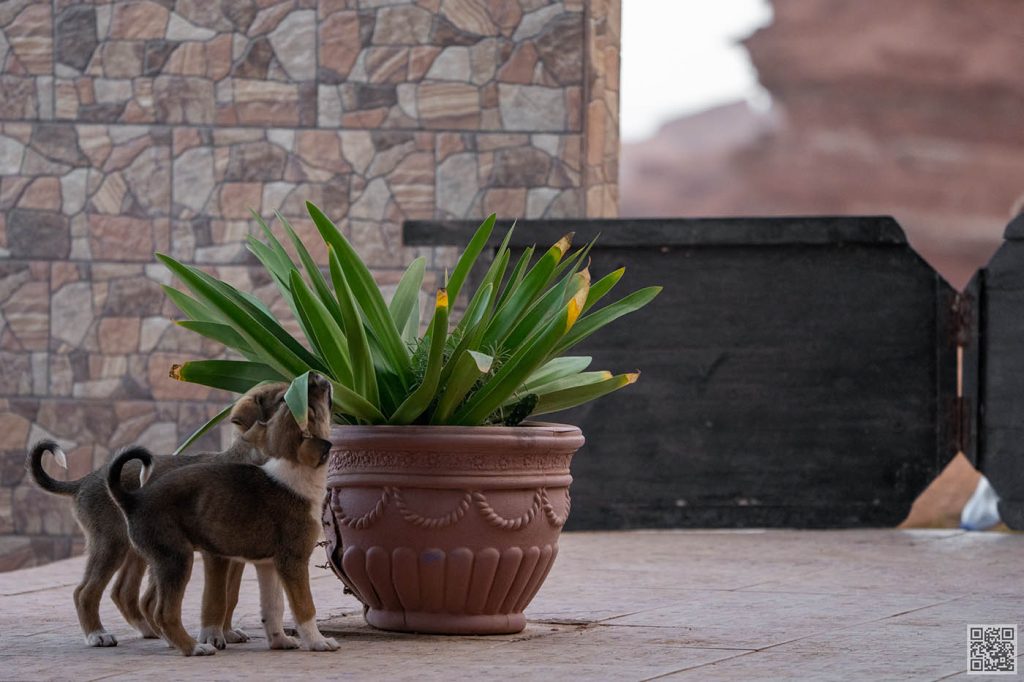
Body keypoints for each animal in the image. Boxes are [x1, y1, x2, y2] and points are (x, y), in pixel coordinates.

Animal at [24, 382, 292, 647]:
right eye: (282, 400)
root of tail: (83, 481)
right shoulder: (215, 552)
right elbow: (218, 596)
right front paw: (215, 636)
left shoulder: (237, 556)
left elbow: (230, 596)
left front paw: (227, 633)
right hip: (111, 543)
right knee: (85, 592)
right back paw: (97, 634)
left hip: (138, 550)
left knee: (123, 592)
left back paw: (152, 631)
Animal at [108, 372, 339, 655]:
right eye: (312, 409)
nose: (314, 375)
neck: (294, 471)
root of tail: (133, 499)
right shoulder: (292, 561)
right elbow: (305, 608)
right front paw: (318, 641)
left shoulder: (268, 564)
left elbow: (273, 606)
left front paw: (280, 641)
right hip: (177, 558)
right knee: (164, 612)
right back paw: (195, 647)